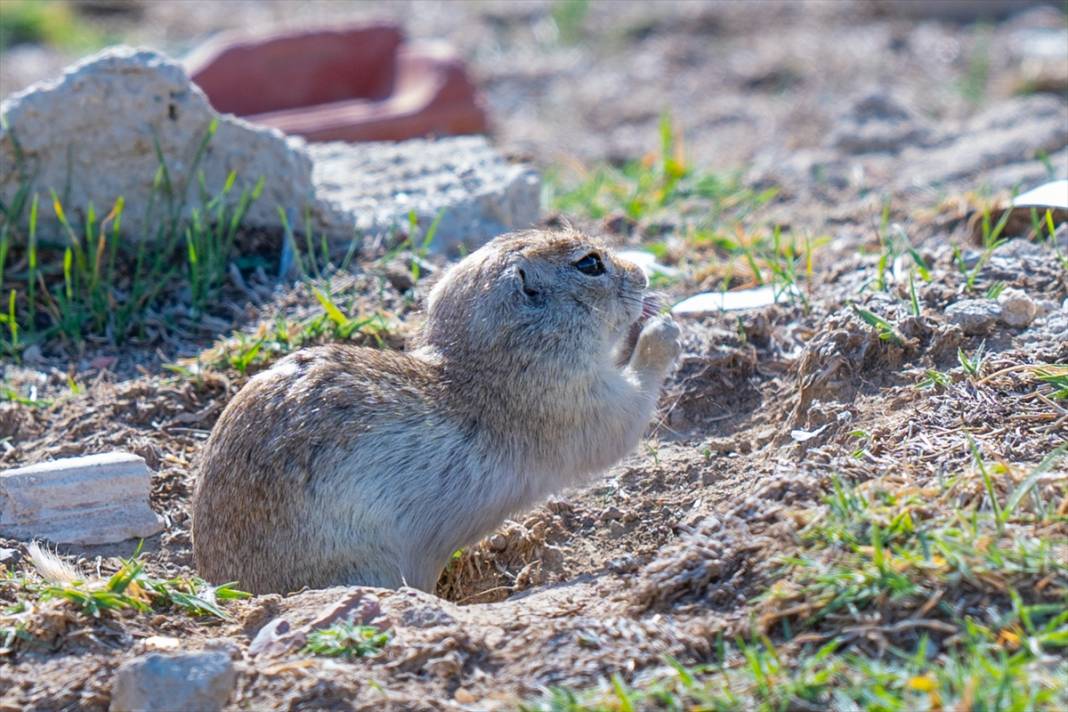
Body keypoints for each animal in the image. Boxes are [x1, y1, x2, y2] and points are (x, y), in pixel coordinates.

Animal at [192, 227, 679, 589]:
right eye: (590, 264)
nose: (642, 275)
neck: (486, 364)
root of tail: (228, 586)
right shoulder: (577, 401)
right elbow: (625, 417)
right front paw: (663, 331)